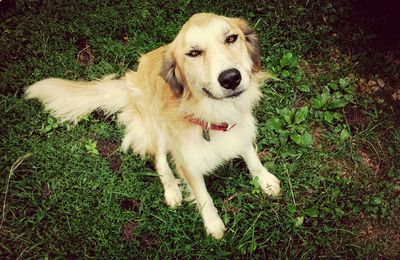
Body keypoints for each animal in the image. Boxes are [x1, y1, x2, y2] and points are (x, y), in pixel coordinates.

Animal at [25, 13, 282, 239]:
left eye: (231, 38)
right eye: (194, 53)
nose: (230, 78)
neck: (212, 115)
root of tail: (130, 82)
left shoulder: (241, 127)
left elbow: (251, 156)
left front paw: (265, 179)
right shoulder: (187, 164)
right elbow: (203, 197)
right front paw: (213, 224)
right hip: (154, 126)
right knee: (159, 161)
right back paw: (172, 190)